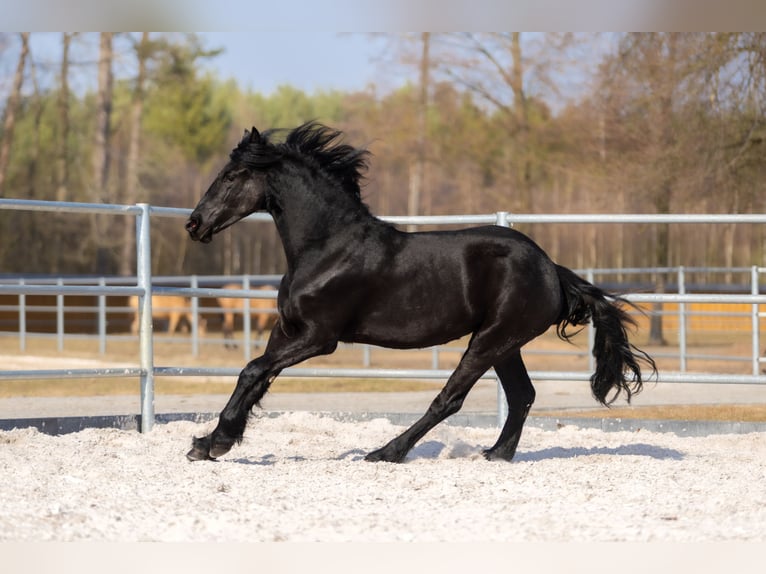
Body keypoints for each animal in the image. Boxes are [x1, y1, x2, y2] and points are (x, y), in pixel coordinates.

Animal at [184, 122, 656, 463]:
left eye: (232, 176)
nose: (194, 223)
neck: (327, 246)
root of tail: (552, 270)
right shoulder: (286, 330)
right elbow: (255, 376)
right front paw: (212, 442)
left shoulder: (320, 337)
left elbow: (252, 371)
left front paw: (213, 443)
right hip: (505, 344)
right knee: (522, 395)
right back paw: (496, 454)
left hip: (490, 340)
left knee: (450, 399)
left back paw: (387, 452)